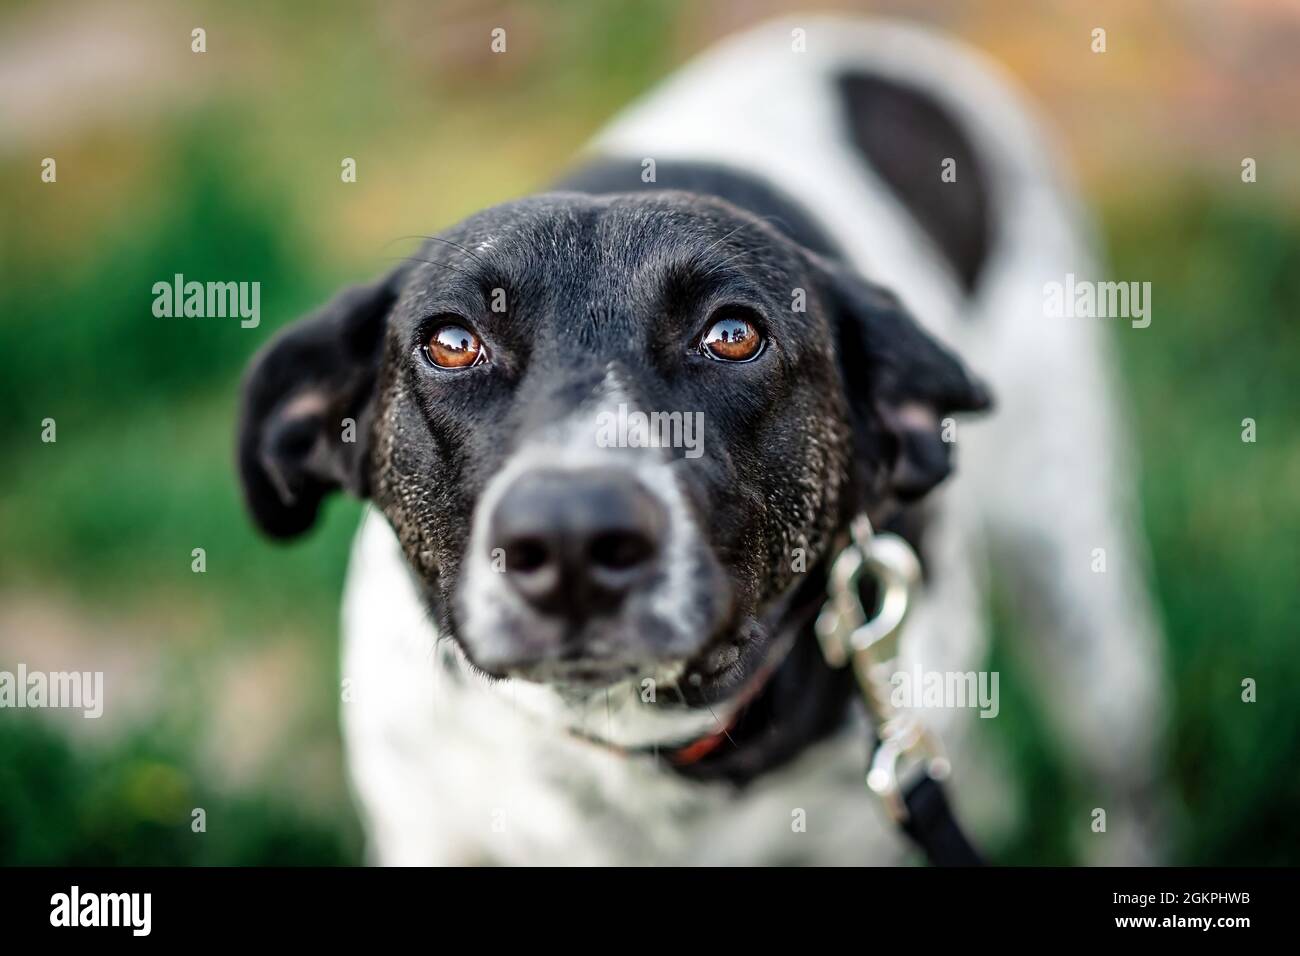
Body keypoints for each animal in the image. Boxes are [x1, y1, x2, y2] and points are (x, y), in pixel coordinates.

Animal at [236, 16, 1170, 868]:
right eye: (452, 342)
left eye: (733, 334)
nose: (572, 538)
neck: (630, 746)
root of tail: (880, 37)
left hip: (1076, 580)